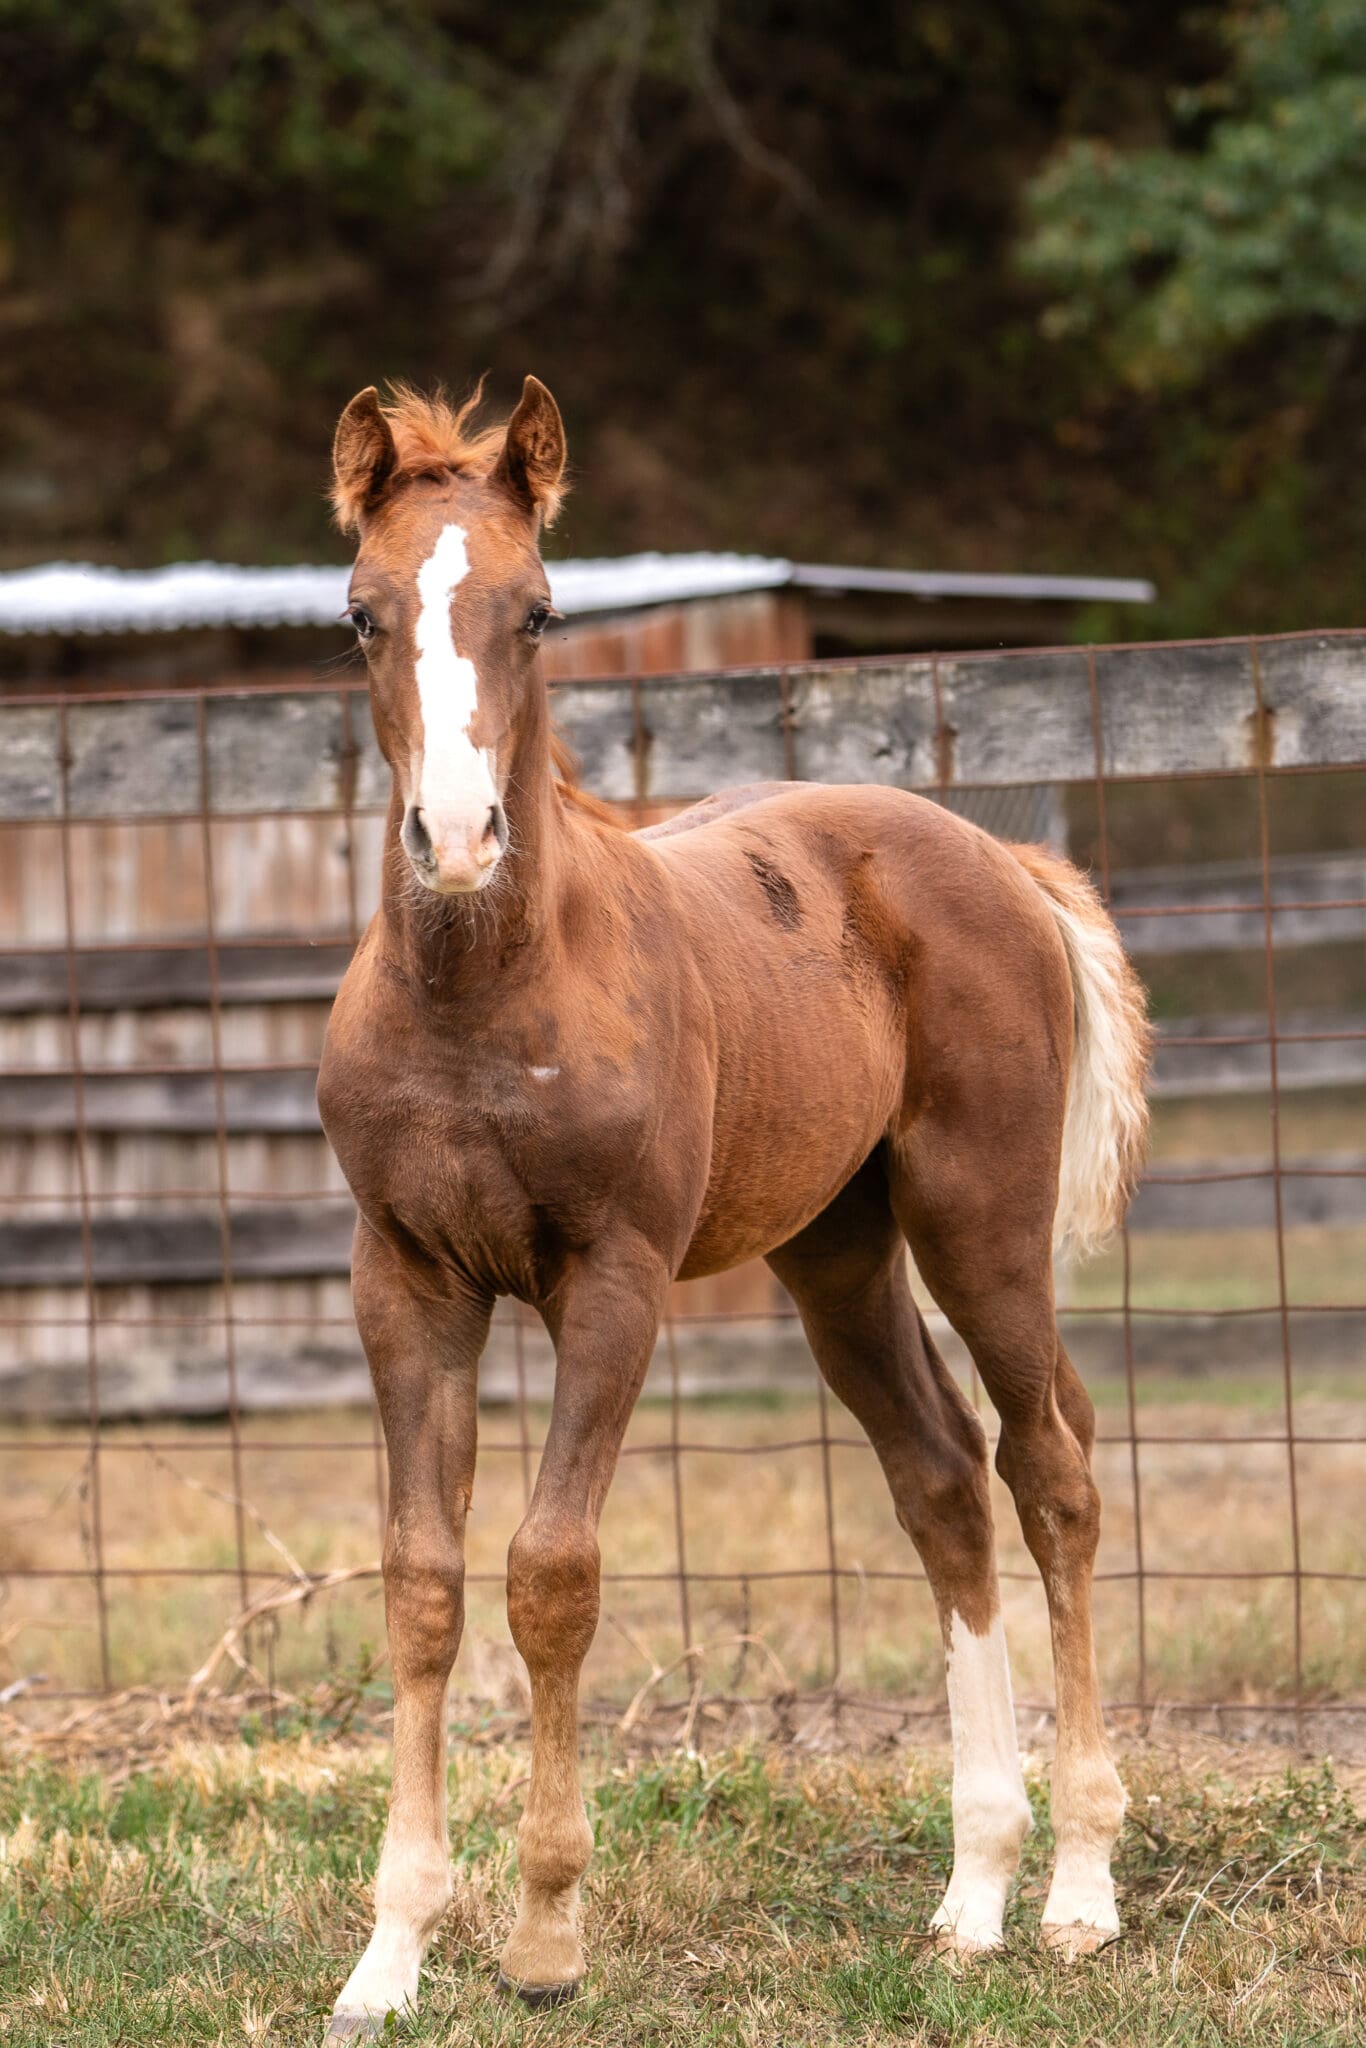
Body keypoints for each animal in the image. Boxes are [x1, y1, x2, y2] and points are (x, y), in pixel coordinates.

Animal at [315, 375, 1151, 2037]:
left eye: (538, 610)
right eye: (362, 614)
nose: (457, 840)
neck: (482, 992)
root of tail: (1001, 856)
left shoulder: (614, 1280)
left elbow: (550, 1574)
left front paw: (545, 1938)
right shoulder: (408, 1280)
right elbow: (423, 1583)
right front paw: (388, 1958)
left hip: (978, 1219)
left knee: (1050, 1469)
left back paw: (1078, 1891)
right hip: (836, 1254)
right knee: (940, 1481)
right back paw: (971, 1895)